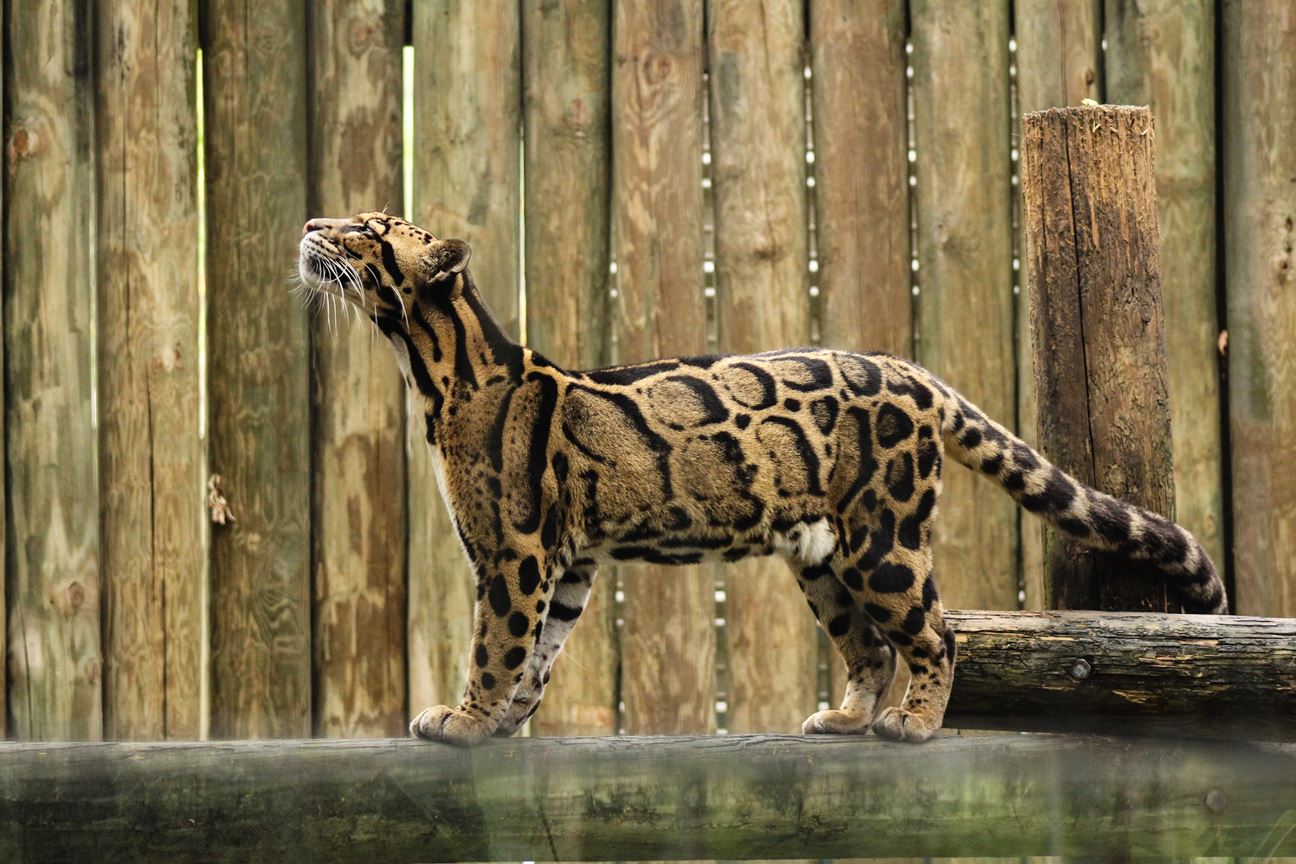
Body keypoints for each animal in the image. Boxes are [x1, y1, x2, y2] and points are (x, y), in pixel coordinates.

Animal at [298, 211, 1227, 746]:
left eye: (367, 229)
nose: (311, 221)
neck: (434, 365)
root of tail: (914, 372)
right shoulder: (567, 561)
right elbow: (542, 649)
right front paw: (503, 723)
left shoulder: (514, 551)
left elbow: (497, 644)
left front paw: (463, 720)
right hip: (822, 557)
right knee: (868, 647)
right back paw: (847, 718)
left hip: (883, 538)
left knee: (936, 633)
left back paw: (915, 723)